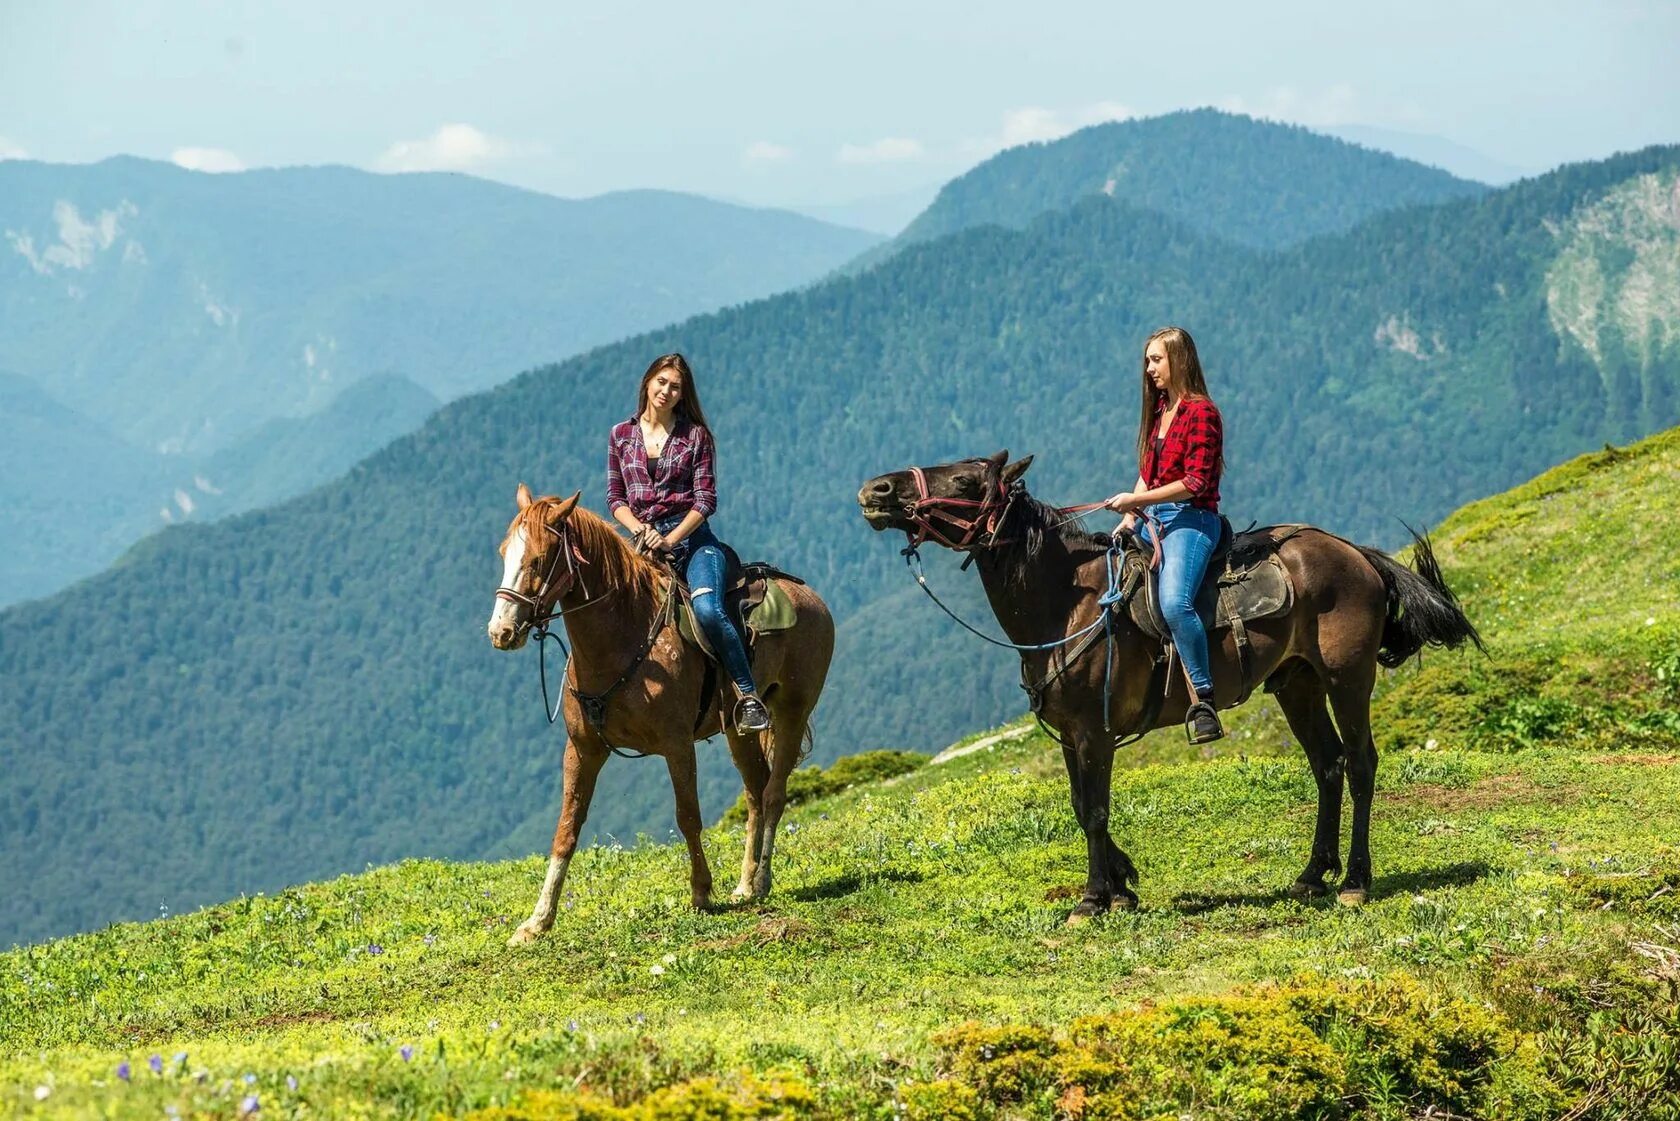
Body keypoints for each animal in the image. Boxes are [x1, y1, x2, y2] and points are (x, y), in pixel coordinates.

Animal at [487, 487, 833, 941]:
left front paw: (701, 892)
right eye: (504, 552)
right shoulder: (582, 750)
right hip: (737, 729)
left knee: (774, 793)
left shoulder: (677, 744)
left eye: (540, 559)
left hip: (792, 710)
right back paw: (745, 883)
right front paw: (537, 922)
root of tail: (811, 597)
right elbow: (566, 829)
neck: (622, 639)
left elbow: (688, 816)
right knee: (755, 791)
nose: (501, 632)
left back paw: (761, 880)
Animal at [860, 453, 1478, 921]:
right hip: (1297, 685)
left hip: (1346, 678)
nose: (875, 489)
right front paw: (1122, 883)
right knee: (1327, 765)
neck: (1066, 605)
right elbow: (1080, 804)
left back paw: (1355, 880)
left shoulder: (1095, 731)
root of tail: (1359, 554)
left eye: (965, 480)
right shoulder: (1069, 737)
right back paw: (1311, 875)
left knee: (1360, 764)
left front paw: (1094, 898)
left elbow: (1095, 810)